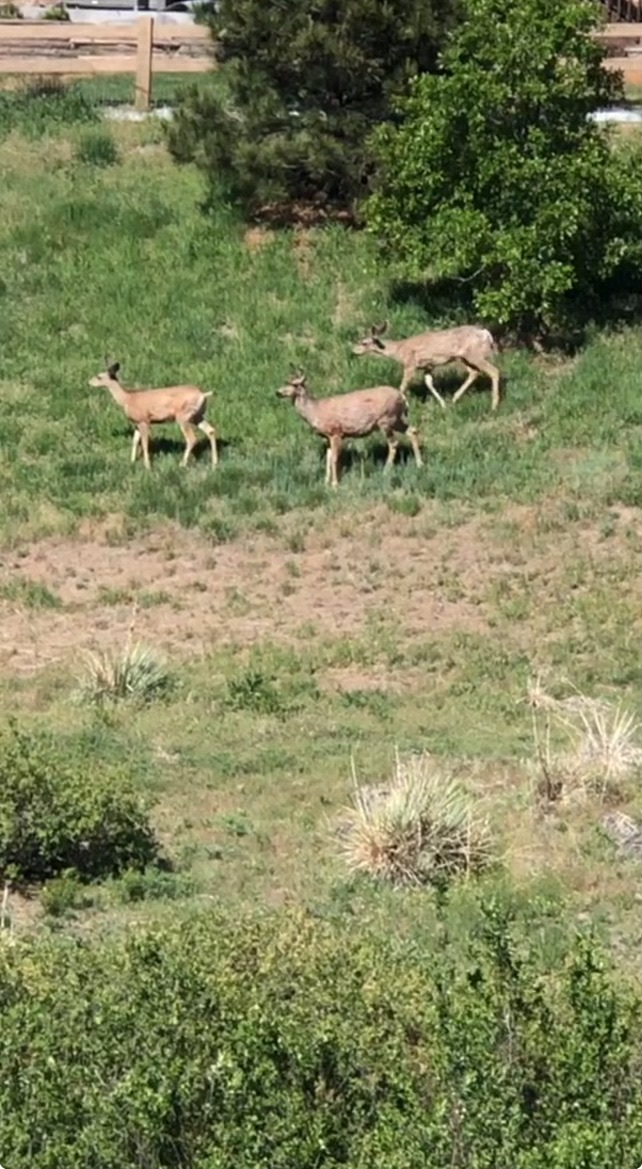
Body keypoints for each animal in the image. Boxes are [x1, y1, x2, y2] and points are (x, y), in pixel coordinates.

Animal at [87, 364, 218, 474]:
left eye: (99, 376)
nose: (89, 382)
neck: (127, 398)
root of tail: (203, 394)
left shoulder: (144, 421)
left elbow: (145, 443)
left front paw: (147, 466)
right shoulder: (136, 423)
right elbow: (135, 441)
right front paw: (132, 461)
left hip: (183, 417)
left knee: (192, 438)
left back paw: (182, 464)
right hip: (197, 416)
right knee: (211, 430)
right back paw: (214, 463)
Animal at [273, 369, 420, 488]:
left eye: (294, 384)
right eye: (285, 382)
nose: (277, 392)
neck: (316, 411)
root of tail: (403, 397)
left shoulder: (336, 432)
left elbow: (334, 458)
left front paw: (335, 484)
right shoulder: (327, 437)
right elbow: (328, 458)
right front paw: (325, 482)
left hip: (386, 419)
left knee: (394, 443)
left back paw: (385, 471)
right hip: (396, 419)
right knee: (412, 430)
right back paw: (420, 463)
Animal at [350, 320, 500, 411]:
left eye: (364, 343)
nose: (353, 350)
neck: (400, 351)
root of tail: (486, 333)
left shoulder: (410, 365)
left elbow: (402, 387)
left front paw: (405, 406)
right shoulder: (428, 366)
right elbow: (429, 383)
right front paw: (443, 404)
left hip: (474, 354)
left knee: (494, 371)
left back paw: (493, 405)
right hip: (464, 357)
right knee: (474, 372)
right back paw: (454, 398)